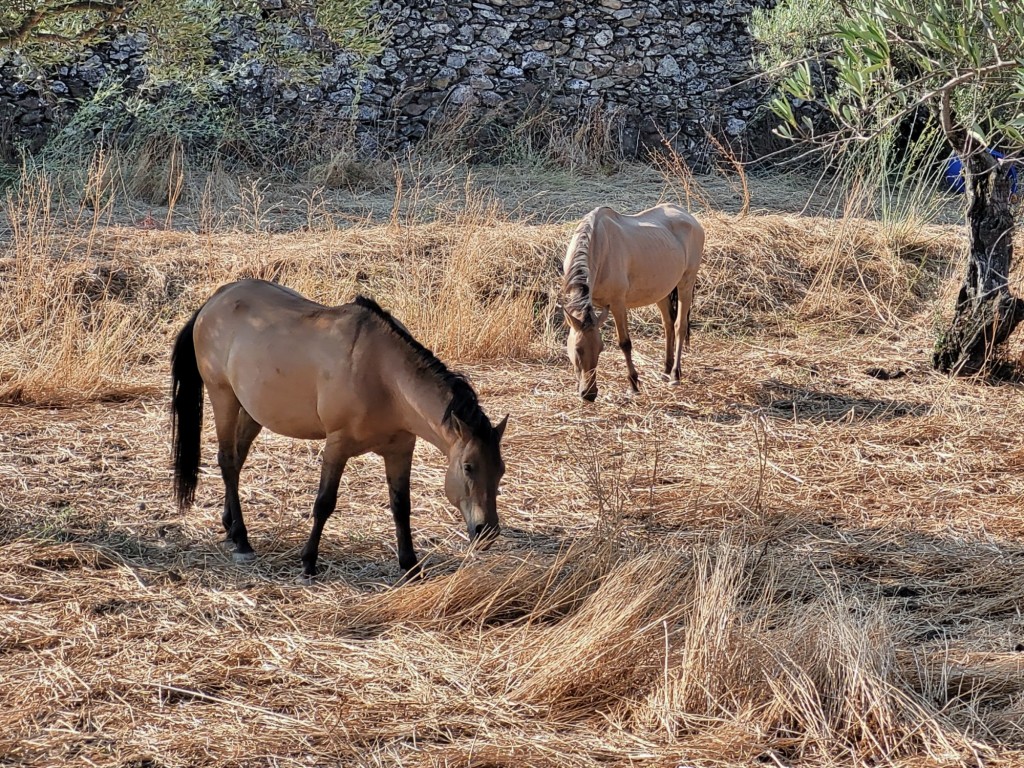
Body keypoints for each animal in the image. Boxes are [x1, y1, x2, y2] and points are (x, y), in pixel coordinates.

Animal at [171, 280, 507, 581]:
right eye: (468, 467)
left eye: (501, 470)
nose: (487, 531)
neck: (383, 375)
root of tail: (215, 300)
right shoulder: (337, 445)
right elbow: (324, 503)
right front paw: (308, 563)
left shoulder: (400, 449)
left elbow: (401, 506)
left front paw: (410, 566)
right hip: (223, 398)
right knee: (227, 461)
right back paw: (242, 540)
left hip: (252, 411)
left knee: (237, 461)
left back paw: (230, 525)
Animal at [561, 202, 704, 403]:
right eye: (577, 350)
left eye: (600, 348)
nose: (589, 394)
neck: (599, 244)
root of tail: (689, 217)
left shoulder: (617, 304)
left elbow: (625, 343)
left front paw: (634, 385)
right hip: (661, 291)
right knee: (668, 324)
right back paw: (665, 370)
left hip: (686, 283)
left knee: (679, 326)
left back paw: (675, 374)